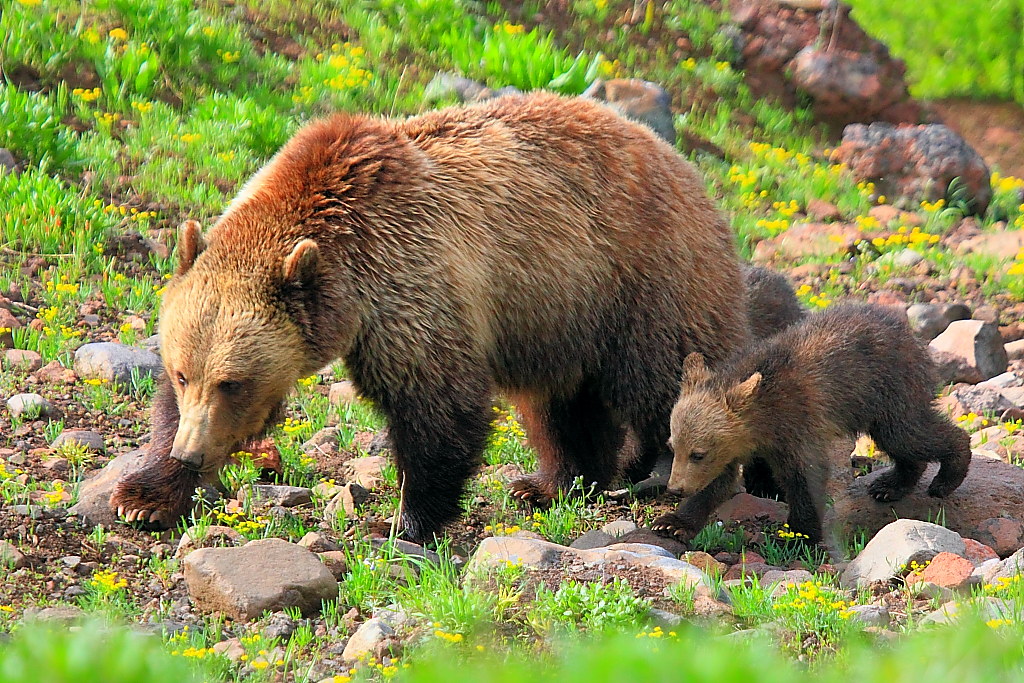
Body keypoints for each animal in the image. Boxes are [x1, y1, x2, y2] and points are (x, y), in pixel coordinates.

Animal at [108, 91, 750, 542]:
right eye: (185, 373)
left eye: (233, 382)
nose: (191, 452)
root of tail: (691, 171)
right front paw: (144, 497)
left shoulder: (409, 281)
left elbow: (436, 404)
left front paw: (405, 521)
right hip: (559, 317)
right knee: (560, 404)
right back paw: (553, 484)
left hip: (641, 283)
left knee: (668, 383)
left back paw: (676, 493)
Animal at [651, 303, 971, 545]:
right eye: (673, 446)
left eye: (698, 453)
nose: (675, 488)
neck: (762, 422)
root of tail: (908, 331)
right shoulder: (737, 443)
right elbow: (717, 482)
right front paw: (672, 522)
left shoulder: (798, 422)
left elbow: (804, 477)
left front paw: (799, 535)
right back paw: (889, 485)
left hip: (890, 387)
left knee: (910, 434)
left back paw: (945, 478)